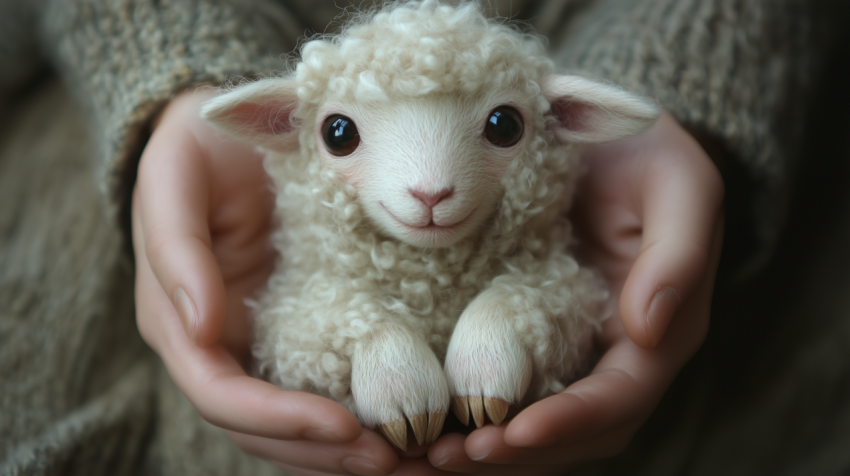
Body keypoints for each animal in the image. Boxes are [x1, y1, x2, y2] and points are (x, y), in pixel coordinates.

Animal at [197, 0, 656, 452]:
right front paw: (401, 388)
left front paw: (484, 373)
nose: (430, 194)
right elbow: (334, 315)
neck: (430, 283)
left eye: (504, 125)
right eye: (338, 133)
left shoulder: (568, 291)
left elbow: (531, 297)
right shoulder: (289, 308)